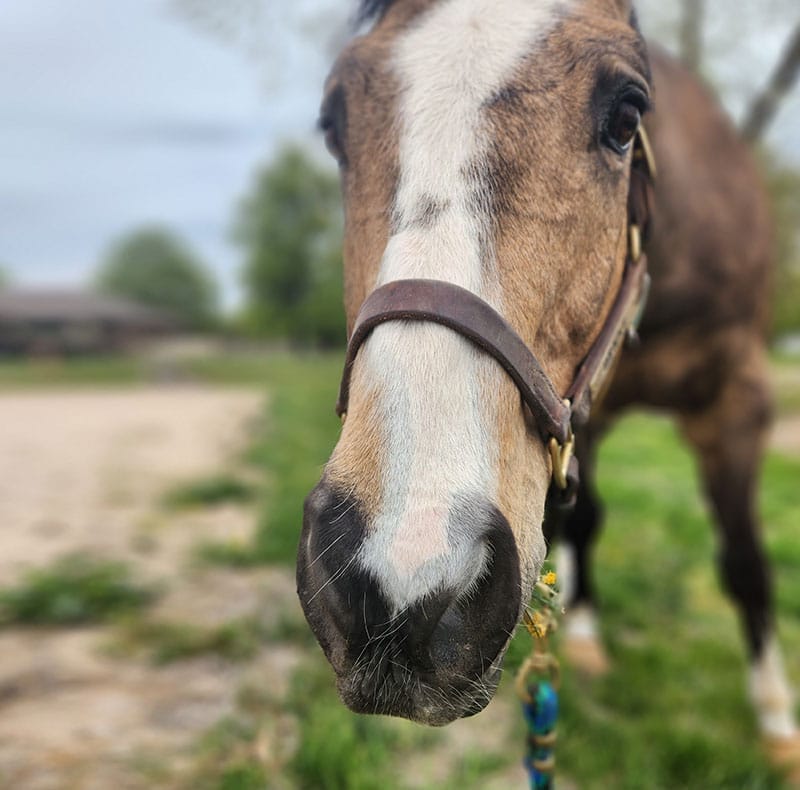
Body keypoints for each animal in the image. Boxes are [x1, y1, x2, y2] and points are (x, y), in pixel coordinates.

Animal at [296, 0, 799, 773]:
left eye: (626, 115)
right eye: (332, 122)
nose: (398, 580)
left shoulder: (739, 398)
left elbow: (746, 562)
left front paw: (776, 722)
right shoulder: (577, 414)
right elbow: (584, 517)